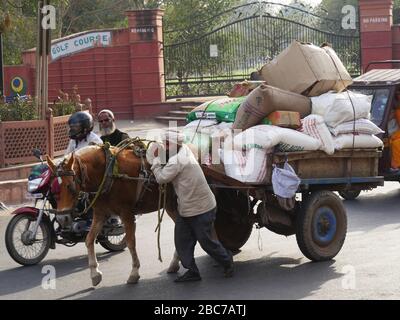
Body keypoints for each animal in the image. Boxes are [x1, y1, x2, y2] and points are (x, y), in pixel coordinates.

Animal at [45, 144, 180, 286]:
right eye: (53, 189)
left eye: (70, 187)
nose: (62, 219)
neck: (107, 174)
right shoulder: (100, 214)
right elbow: (89, 239)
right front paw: (95, 273)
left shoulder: (127, 213)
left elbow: (130, 242)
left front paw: (134, 272)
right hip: (170, 205)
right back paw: (174, 263)